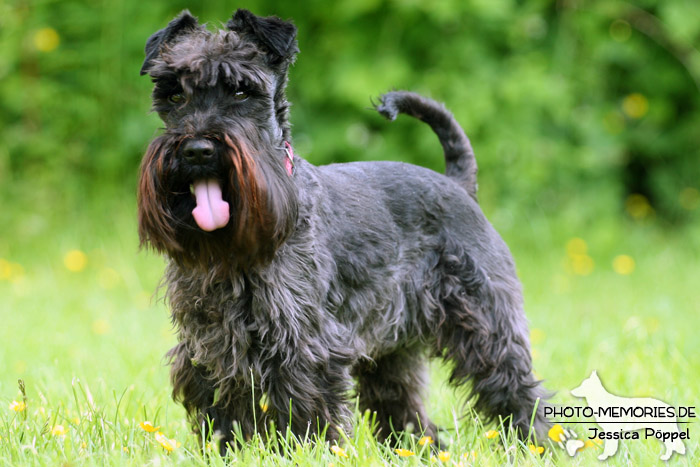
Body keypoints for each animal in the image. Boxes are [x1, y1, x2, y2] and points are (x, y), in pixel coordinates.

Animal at [137, 7, 548, 452]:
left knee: (517, 388)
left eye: (241, 92)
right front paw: (229, 450)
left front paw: (307, 451)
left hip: (487, 323)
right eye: (174, 95)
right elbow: (222, 408)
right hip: (393, 345)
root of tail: (458, 184)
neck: (232, 248)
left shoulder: (306, 345)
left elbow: (306, 411)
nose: (197, 150)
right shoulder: (208, 345)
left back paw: (540, 444)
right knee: (402, 401)